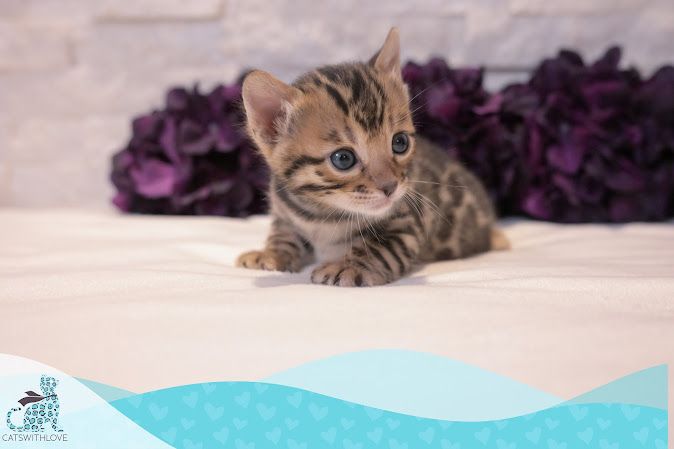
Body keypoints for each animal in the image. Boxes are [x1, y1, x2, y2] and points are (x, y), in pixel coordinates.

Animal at [235, 28, 504, 286]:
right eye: (343, 159)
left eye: (400, 143)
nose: (390, 187)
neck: (325, 214)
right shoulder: (285, 212)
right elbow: (283, 234)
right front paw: (270, 254)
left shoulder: (405, 223)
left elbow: (379, 249)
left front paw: (350, 266)